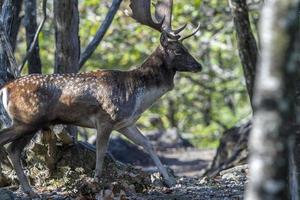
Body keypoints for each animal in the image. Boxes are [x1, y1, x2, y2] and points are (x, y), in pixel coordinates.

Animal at [0, 0, 202, 196]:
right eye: (178, 51)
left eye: (185, 47)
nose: (198, 66)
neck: (138, 95)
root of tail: (6, 88)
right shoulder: (106, 119)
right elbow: (101, 151)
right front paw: (96, 181)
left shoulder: (125, 123)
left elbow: (147, 144)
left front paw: (170, 181)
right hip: (29, 119)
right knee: (10, 146)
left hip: (28, 121)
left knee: (12, 149)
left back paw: (29, 190)